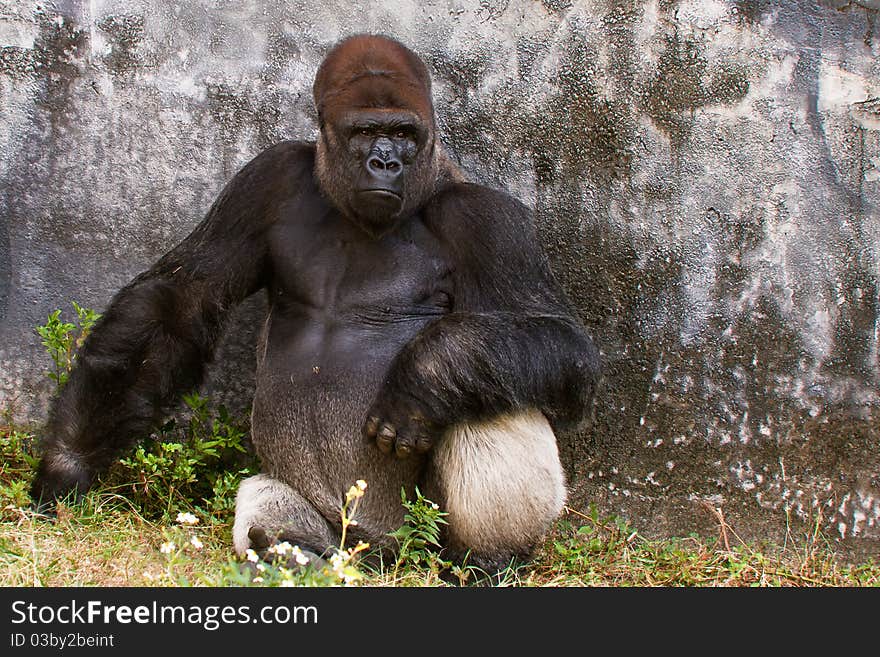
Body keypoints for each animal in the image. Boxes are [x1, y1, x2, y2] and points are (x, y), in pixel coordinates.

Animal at [31, 33, 600, 572]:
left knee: (493, 396)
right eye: (365, 132)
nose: (385, 162)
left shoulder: (487, 219)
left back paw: (489, 560)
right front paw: (68, 462)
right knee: (269, 499)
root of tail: (379, 556)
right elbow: (182, 300)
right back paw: (298, 551)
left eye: (405, 134)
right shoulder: (267, 177)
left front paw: (427, 376)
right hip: (344, 535)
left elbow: (564, 348)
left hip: (422, 542)